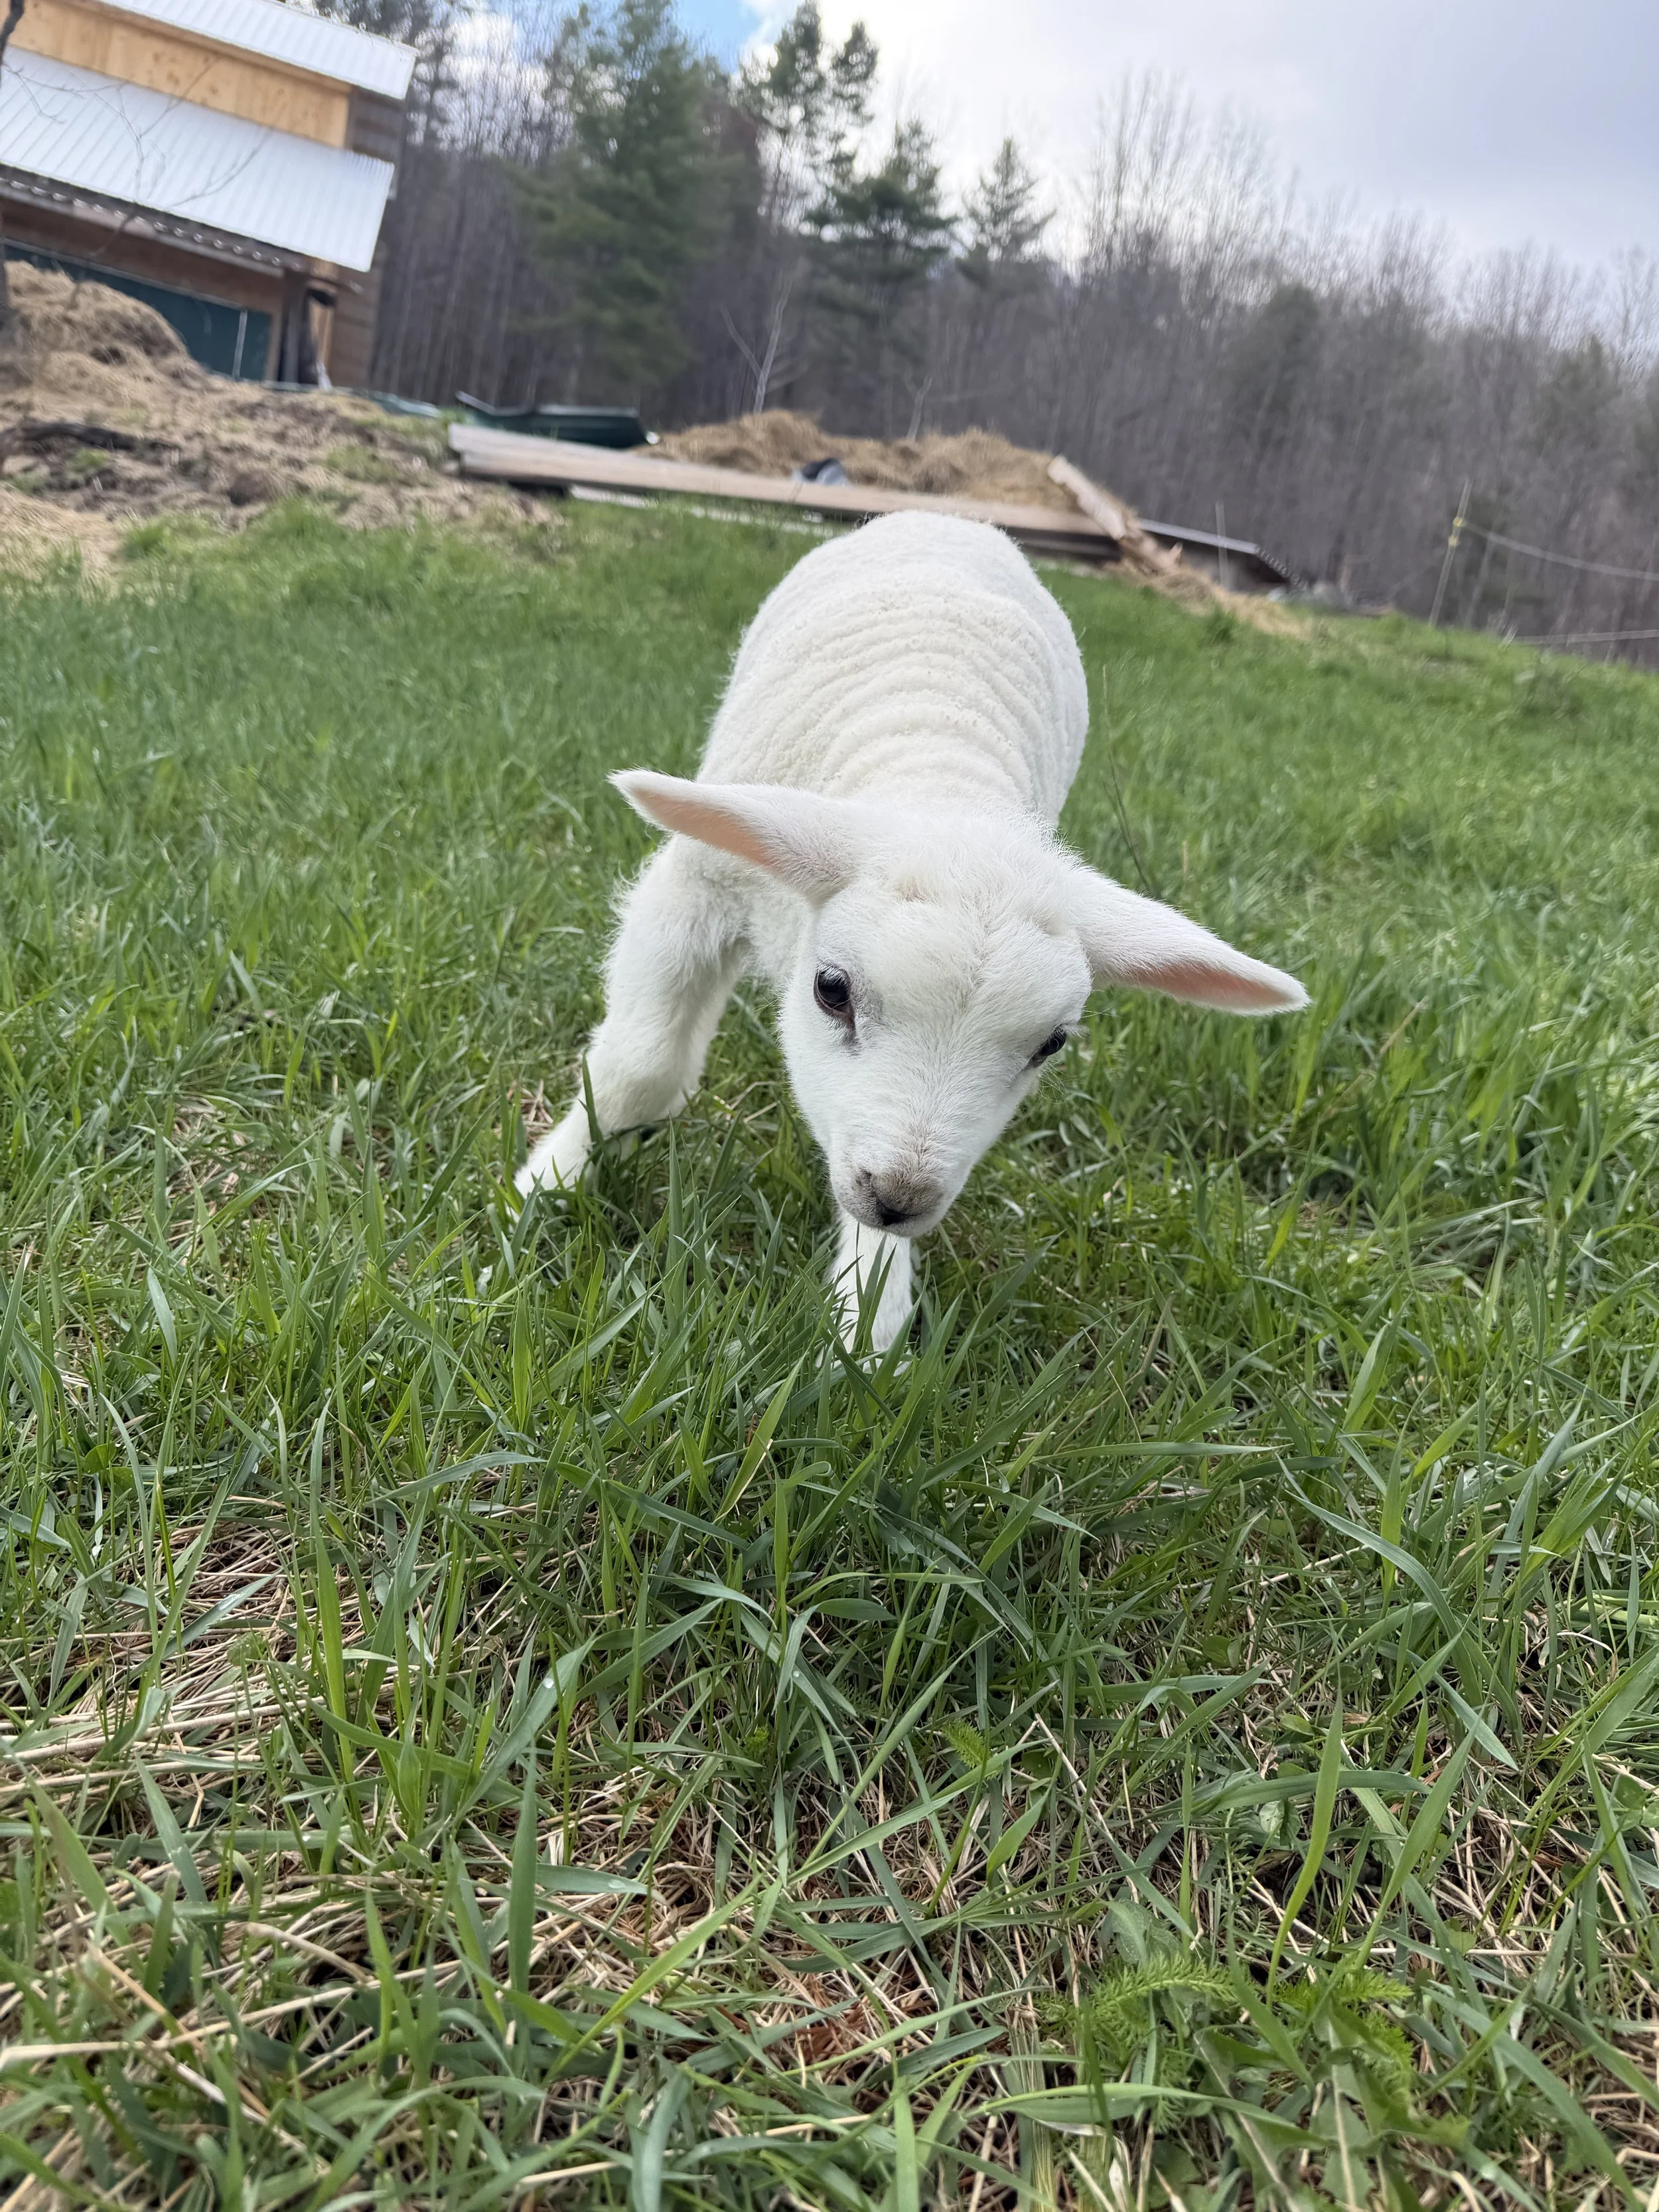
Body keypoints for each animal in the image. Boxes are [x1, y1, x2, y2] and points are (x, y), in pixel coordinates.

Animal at [518, 510, 1307, 1351]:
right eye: (831, 990)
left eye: (1051, 1045)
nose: (897, 1196)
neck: (939, 772)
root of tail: (956, 518)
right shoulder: (695, 889)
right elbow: (642, 1067)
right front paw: (546, 1185)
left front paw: (869, 1316)